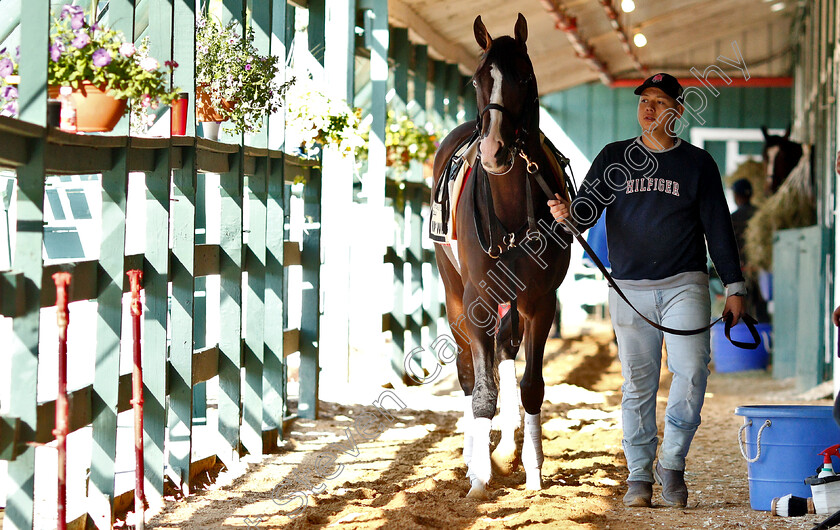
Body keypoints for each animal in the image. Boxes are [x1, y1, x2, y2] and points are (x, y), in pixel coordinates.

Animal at [430, 13, 576, 500]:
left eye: (525, 77)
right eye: (478, 78)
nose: (493, 151)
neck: (511, 205)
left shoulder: (541, 302)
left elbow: (530, 385)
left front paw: (532, 469)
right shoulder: (477, 300)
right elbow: (481, 390)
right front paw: (479, 477)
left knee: (506, 356)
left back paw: (508, 445)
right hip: (454, 292)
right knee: (469, 371)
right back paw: (471, 453)